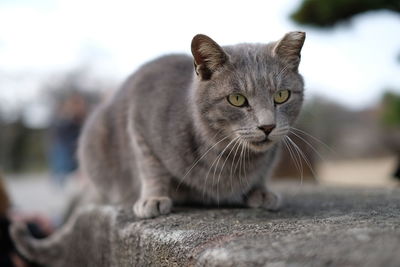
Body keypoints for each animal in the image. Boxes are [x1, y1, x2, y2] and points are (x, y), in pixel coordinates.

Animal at [77, 31, 304, 220]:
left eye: (282, 95)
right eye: (237, 99)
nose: (267, 126)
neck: (229, 156)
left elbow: (264, 170)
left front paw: (261, 191)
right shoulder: (140, 120)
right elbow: (150, 166)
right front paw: (154, 198)